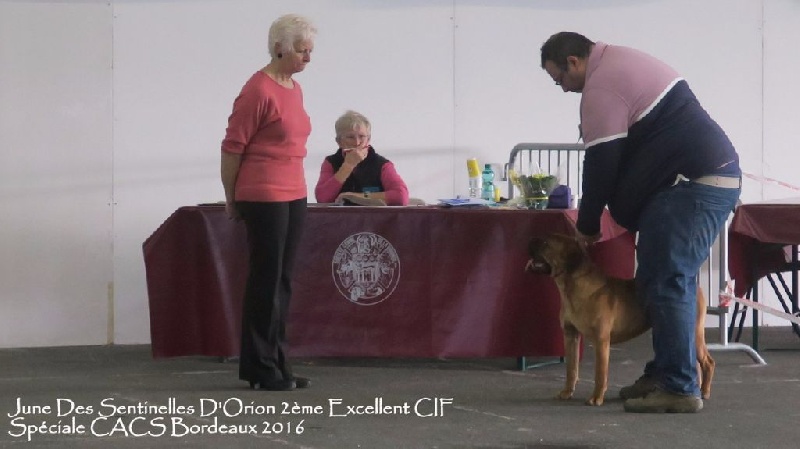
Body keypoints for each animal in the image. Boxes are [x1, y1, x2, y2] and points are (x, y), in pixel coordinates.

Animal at [528, 234, 716, 406]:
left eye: (546, 243)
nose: (529, 240)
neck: (571, 288)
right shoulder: (570, 335)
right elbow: (571, 368)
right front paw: (567, 392)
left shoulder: (601, 340)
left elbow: (600, 373)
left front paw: (596, 398)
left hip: (695, 332)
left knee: (707, 362)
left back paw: (705, 392)